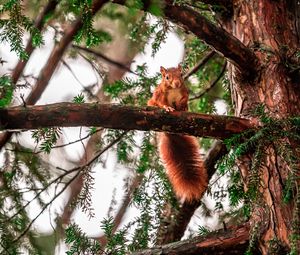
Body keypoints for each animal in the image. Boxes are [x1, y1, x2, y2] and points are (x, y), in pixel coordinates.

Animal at [148, 64, 209, 202]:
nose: (176, 83)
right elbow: (160, 103)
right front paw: (167, 107)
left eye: (181, 75)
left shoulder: (185, 92)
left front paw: (182, 106)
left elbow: (185, 99)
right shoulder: (159, 95)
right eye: (167, 77)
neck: (174, 89)